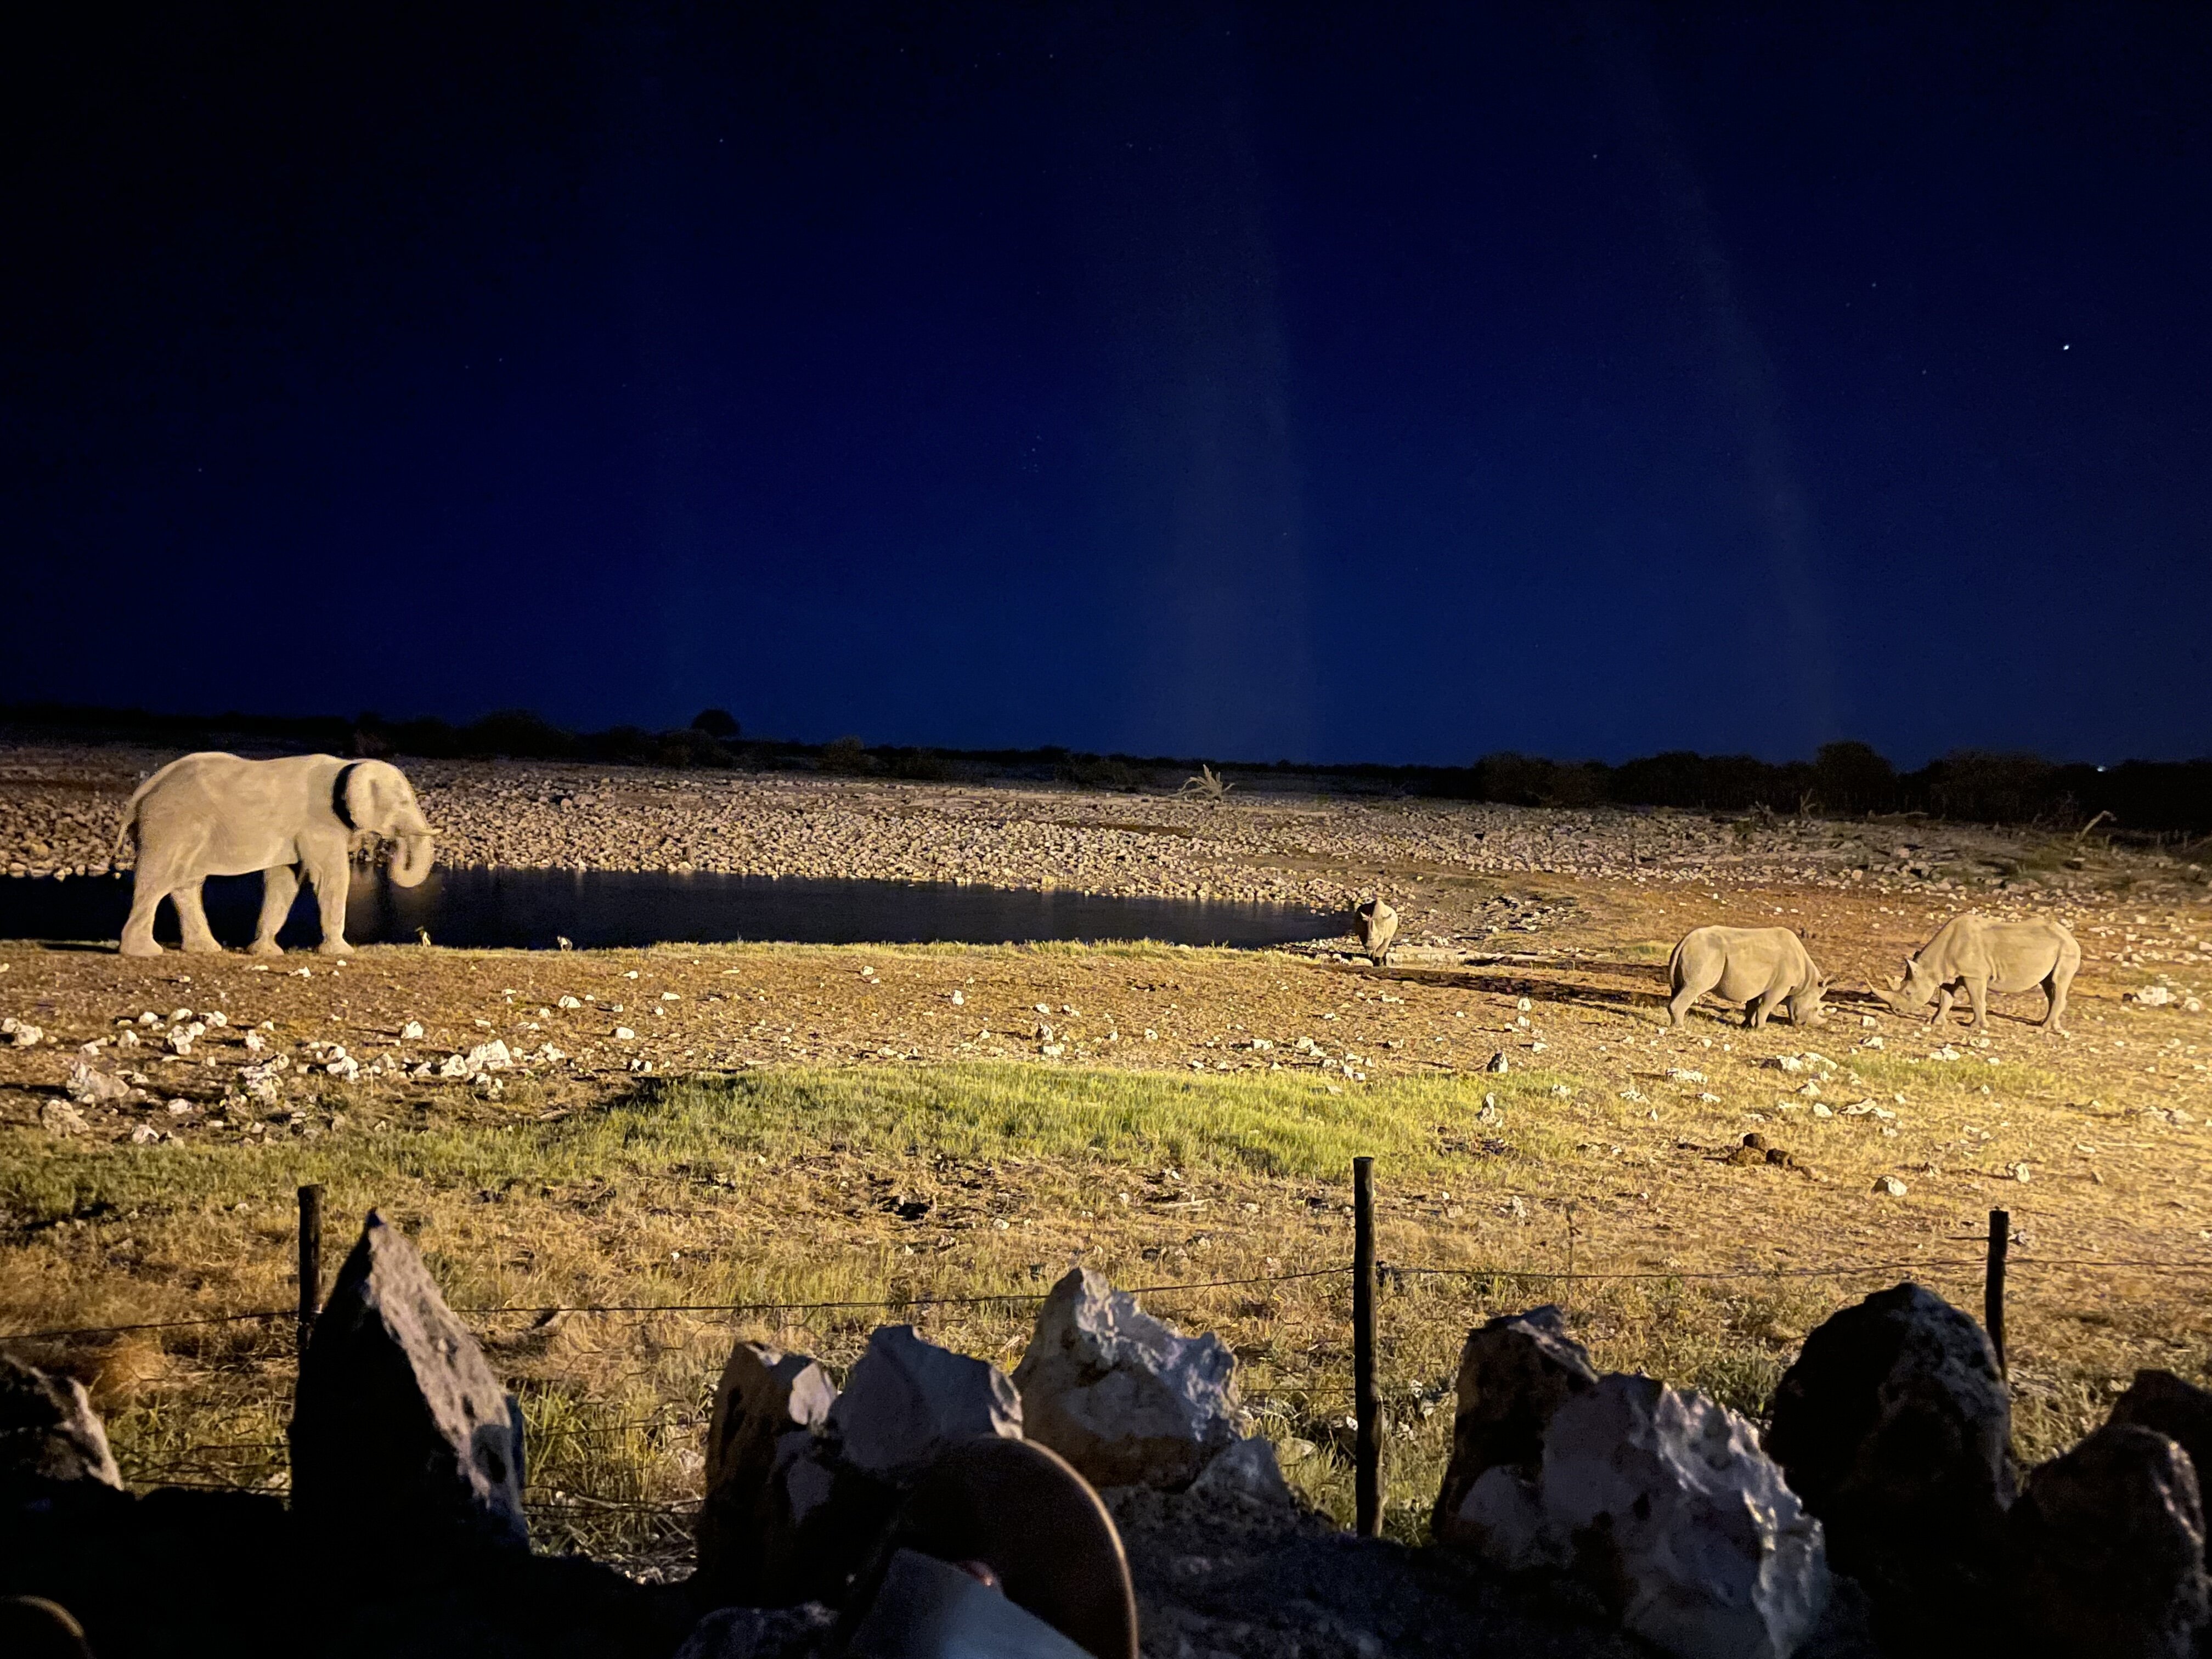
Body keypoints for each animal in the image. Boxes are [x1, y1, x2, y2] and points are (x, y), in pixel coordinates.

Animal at [113, 752, 436, 960]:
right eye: (404, 802)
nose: (385, 850)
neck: (348, 766)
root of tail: (143, 791)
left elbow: (284, 880)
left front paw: (266, 953)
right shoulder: (320, 823)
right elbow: (331, 877)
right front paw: (341, 953)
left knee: (186, 883)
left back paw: (205, 949)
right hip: (171, 825)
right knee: (159, 879)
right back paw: (143, 953)